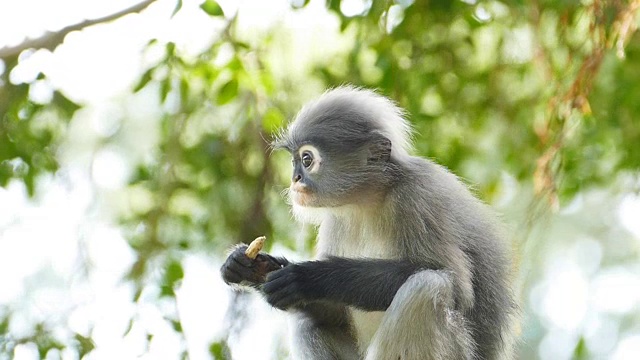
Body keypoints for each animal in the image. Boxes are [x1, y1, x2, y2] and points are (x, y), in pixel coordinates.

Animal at [220, 86, 516, 358]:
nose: (295, 179)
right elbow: (333, 312)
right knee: (308, 323)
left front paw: (309, 277)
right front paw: (251, 268)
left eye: (307, 159)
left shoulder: (419, 196)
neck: (367, 203)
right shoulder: (335, 219)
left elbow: (459, 289)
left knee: (427, 287)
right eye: (295, 161)